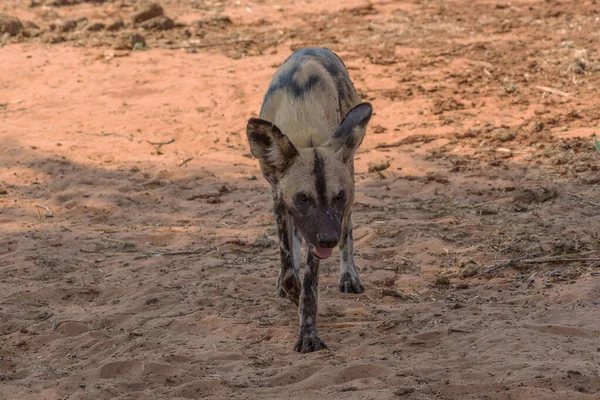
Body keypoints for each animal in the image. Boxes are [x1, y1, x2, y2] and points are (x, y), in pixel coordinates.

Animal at [246, 47, 372, 354]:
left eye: (338, 196)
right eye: (303, 198)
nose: (327, 239)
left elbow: (309, 281)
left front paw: (308, 332)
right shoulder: (280, 202)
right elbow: (290, 270)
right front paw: (291, 293)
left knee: (347, 233)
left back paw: (349, 276)